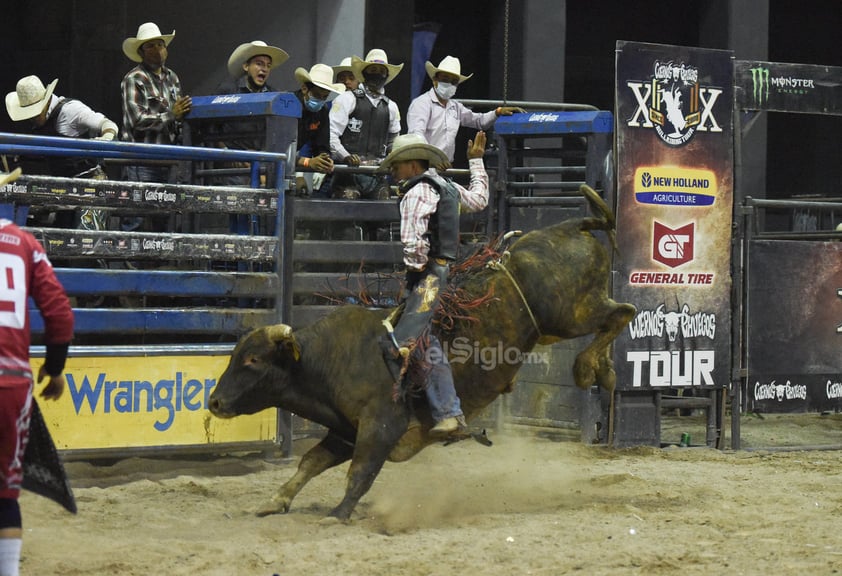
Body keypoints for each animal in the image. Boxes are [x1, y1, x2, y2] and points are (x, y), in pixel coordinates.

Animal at [208, 186, 632, 520]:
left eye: (253, 360)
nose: (213, 402)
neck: (330, 359)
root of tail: (571, 226)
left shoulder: (380, 426)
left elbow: (360, 474)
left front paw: (338, 514)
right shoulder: (344, 431)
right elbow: (310, 462)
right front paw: (275, 501)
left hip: (570, 314)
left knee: (622, 312)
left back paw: (588, 368)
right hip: (559, 322)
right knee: (616, 317)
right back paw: (602, 369)